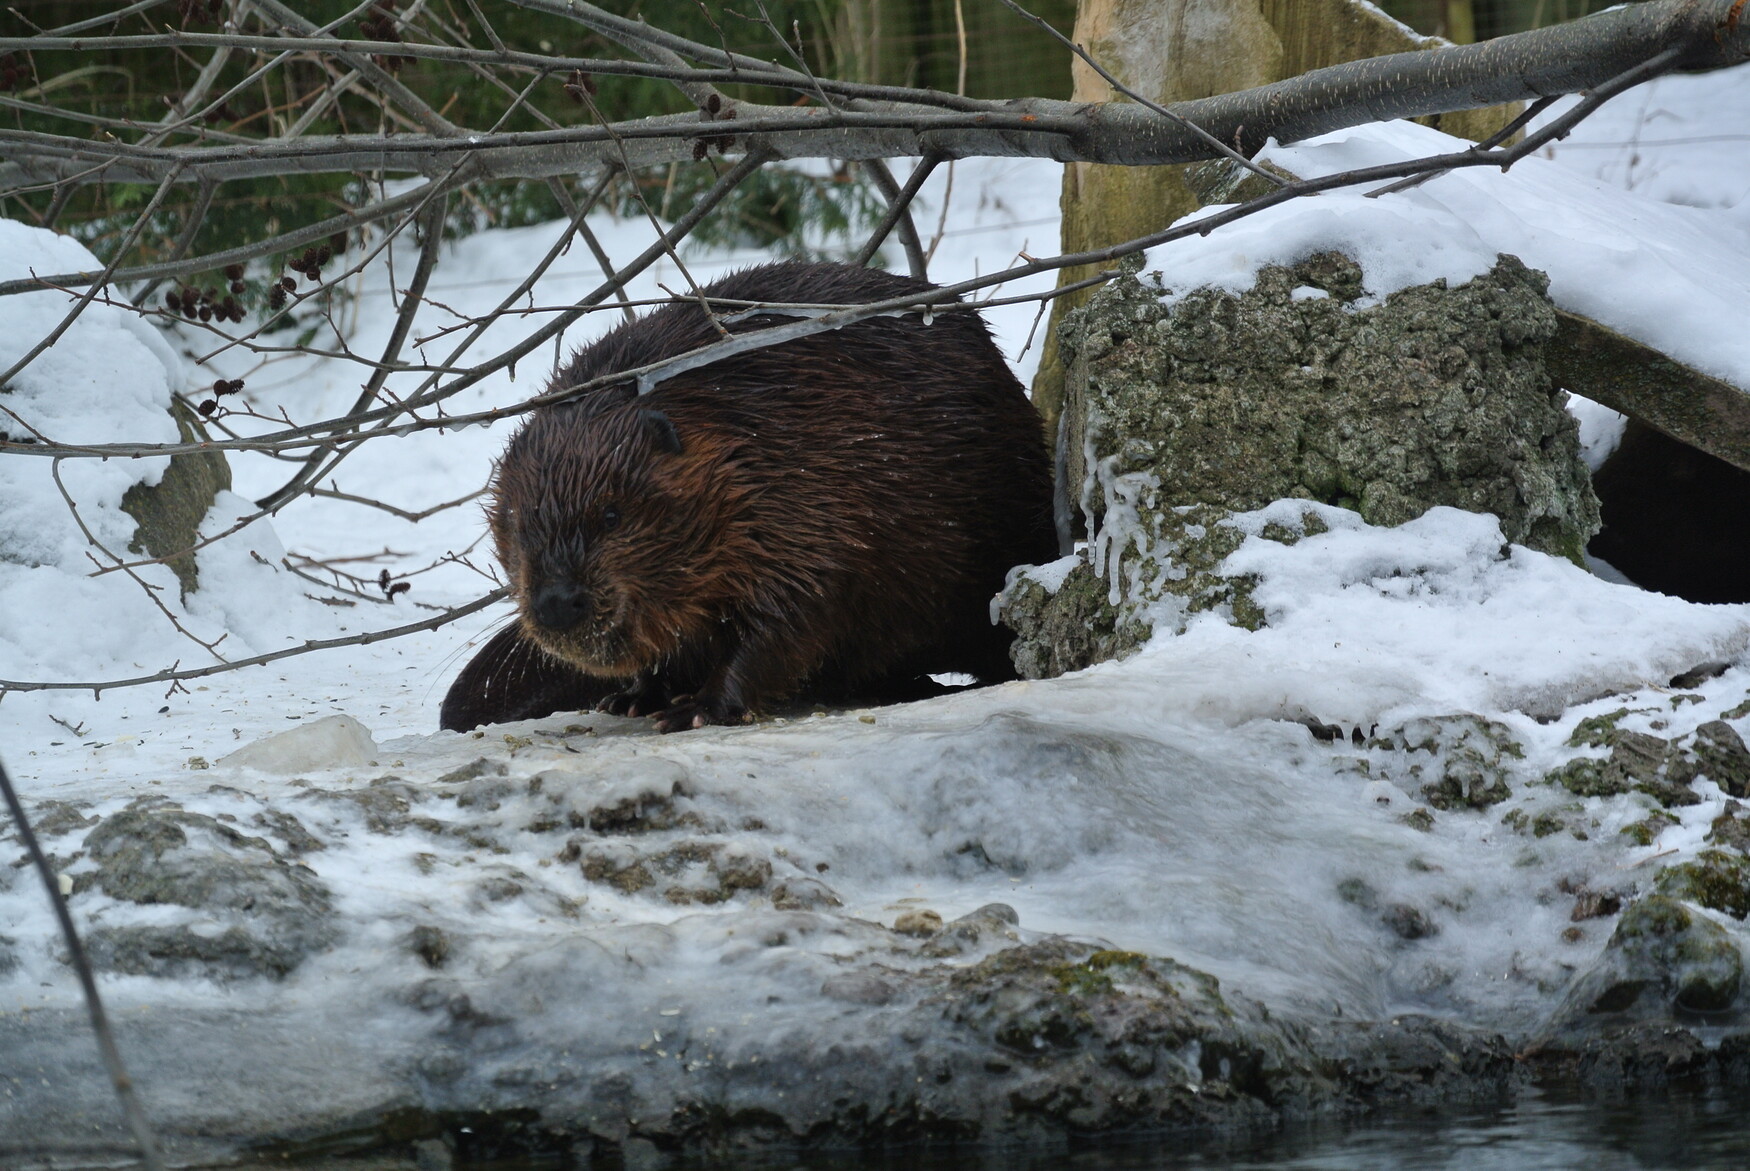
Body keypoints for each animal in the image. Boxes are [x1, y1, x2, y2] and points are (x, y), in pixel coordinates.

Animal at [444, 262, 1057, 731]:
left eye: (612, 514)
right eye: (516, 525)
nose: (556, 603)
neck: (728, 427)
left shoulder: (805, 495)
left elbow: (796, 609)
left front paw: (696, 708)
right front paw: (633, 696)